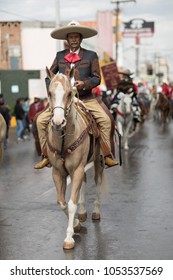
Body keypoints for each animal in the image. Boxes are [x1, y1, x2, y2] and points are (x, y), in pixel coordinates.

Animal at [45, 68, 104, 249]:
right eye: (49, 93)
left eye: (69, 93)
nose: (58, 122)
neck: (64, 138)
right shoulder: (58, 173)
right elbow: (62, 202)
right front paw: (77, 224)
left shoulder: (76, 169)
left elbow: (71, 204)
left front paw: (69, 237)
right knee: (84, 181)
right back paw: (83, 213)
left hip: (98, 161)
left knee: (97, 181)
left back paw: (95, 211)